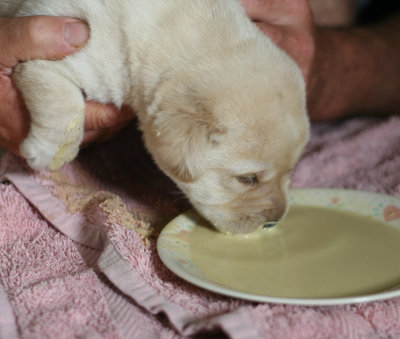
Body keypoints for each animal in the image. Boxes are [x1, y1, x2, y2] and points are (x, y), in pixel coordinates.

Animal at [0, 0, 310, 234]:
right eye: (248, 179)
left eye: (291, 170)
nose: (274, 222)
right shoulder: (64, 45)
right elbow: (63, 102)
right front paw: (50, 150)